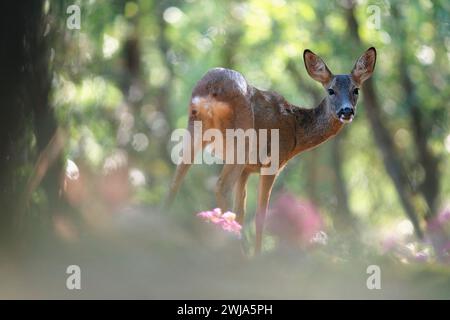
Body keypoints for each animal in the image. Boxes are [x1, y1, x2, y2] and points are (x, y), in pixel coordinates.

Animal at [165, 47, 376, 255]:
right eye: (331, 90)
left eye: (356, 90)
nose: (346, 111)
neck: (296, 132)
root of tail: (212, 90)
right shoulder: (272, 162)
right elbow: (260, 215)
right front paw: (257, 255)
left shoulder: (248, 169)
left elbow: (240, 210)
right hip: (241, 140)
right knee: (221, 186)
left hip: (195, 127)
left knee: (174, 182)